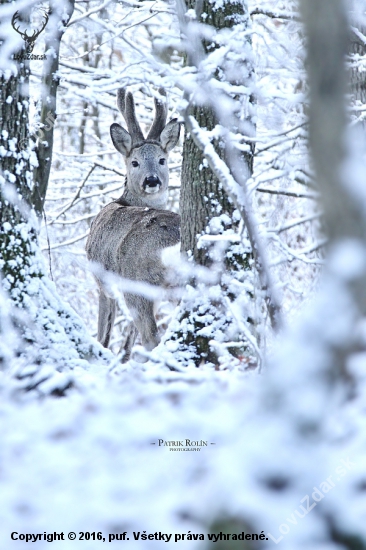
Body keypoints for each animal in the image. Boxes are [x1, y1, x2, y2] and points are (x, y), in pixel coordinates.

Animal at [86, 87, 180, 362]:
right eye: (134, 162)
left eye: (162, 159)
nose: (152, 180)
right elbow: (127, 338)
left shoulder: (101, 281)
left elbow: (104, 332)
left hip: (137, 283)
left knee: (151, 337)